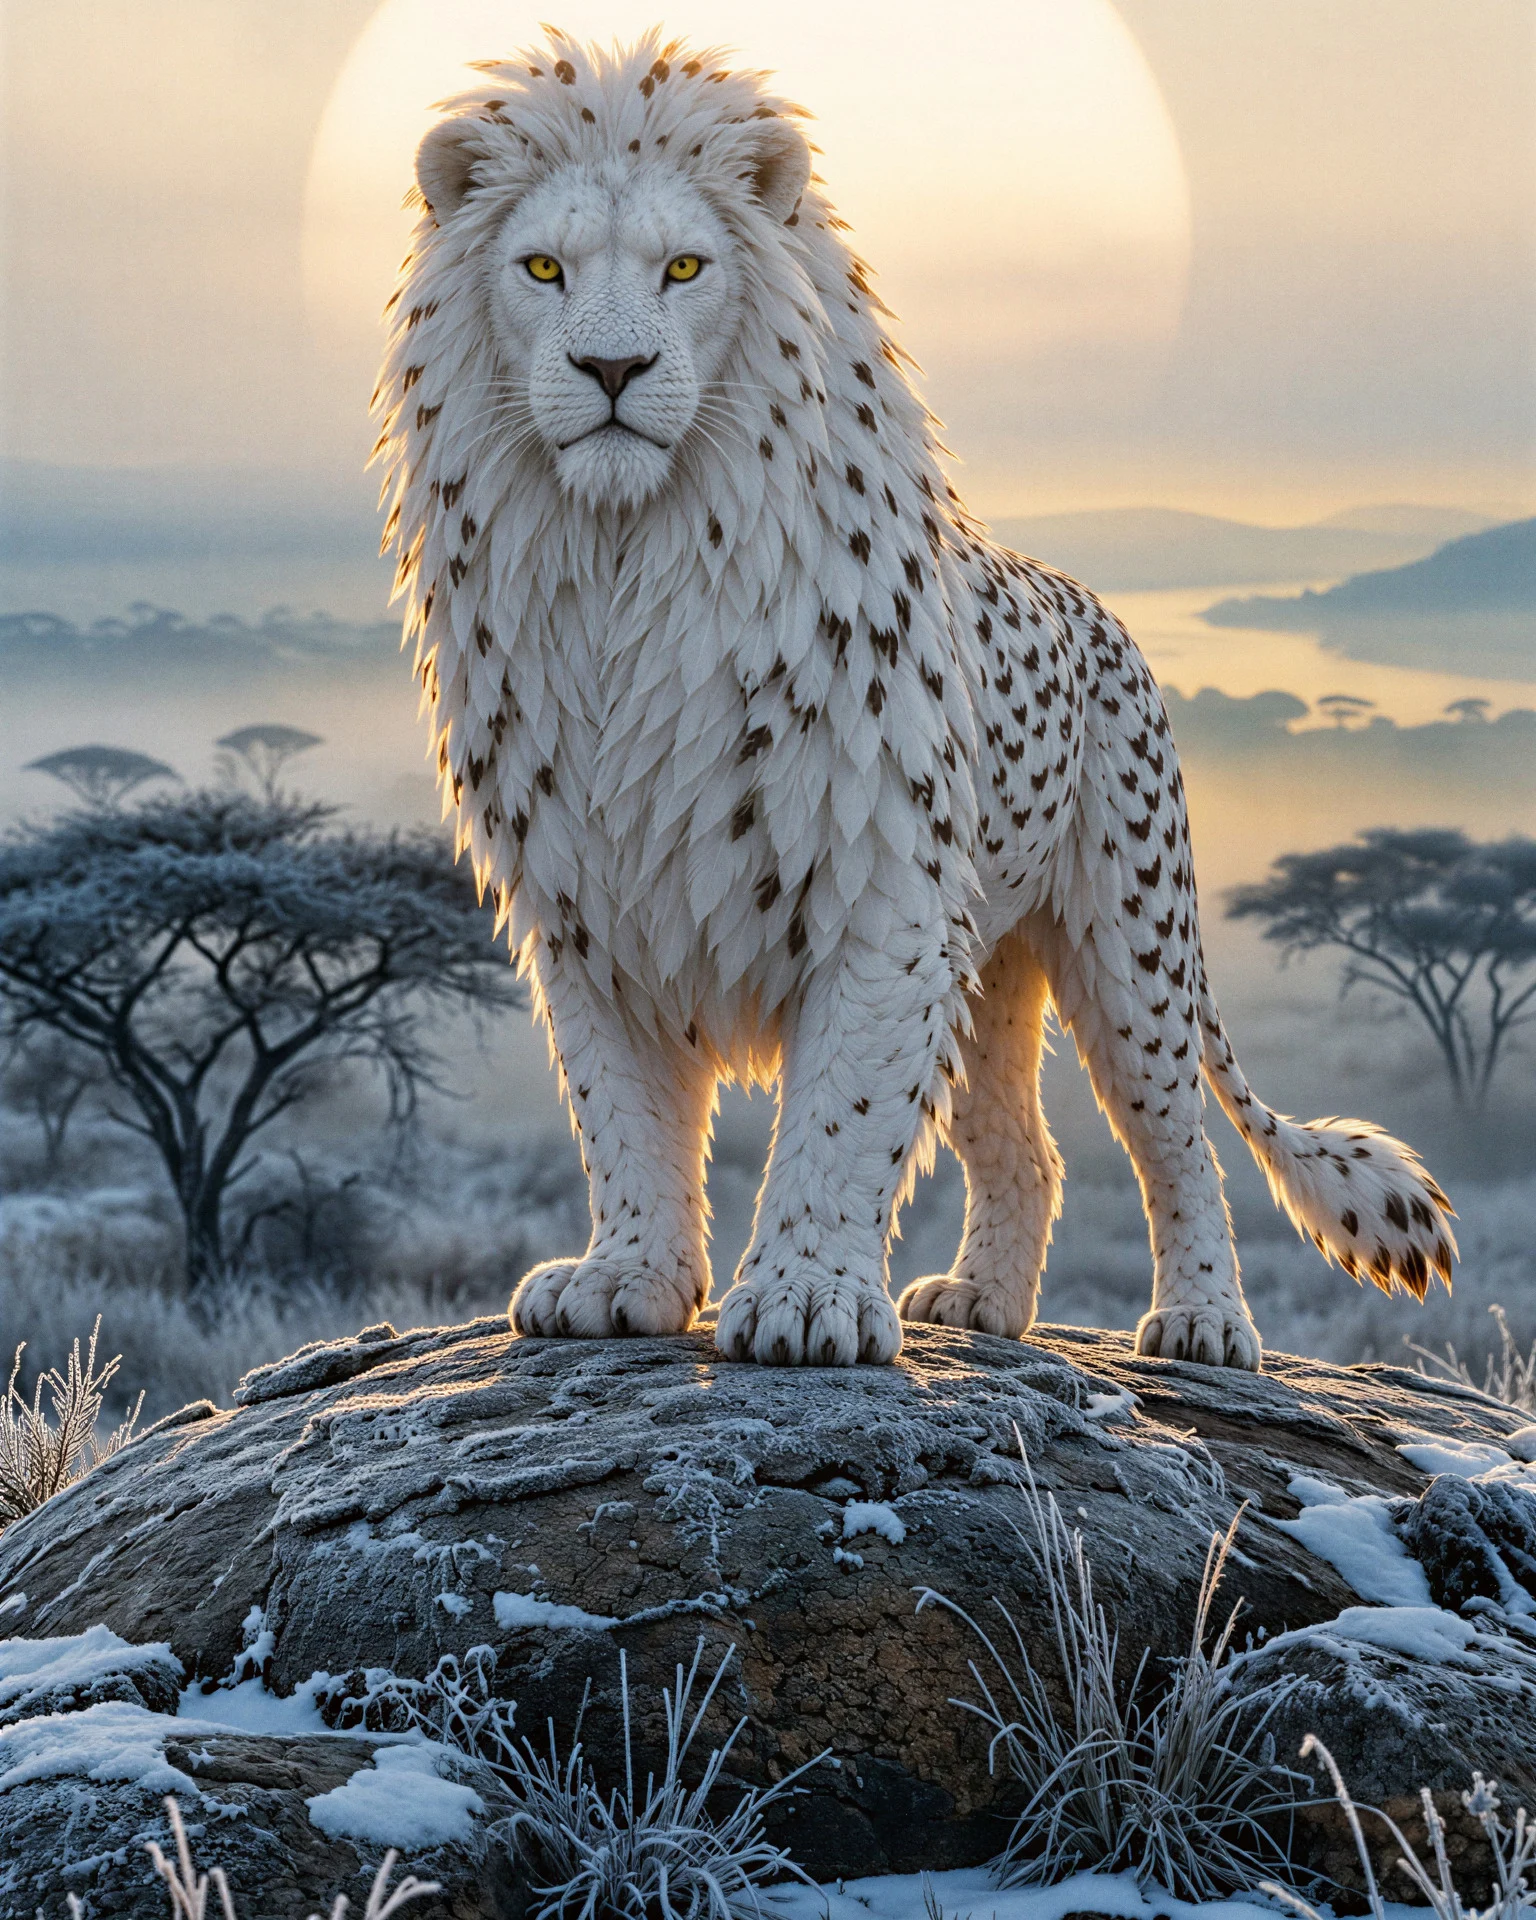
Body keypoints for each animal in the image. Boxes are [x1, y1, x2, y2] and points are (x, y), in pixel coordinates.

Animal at [374, 30, 1456, 1370]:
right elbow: (620, 1110)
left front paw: (805, 1301)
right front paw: (627, 1278)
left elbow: (843, 1112)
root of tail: (1103, 612)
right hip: (993, 964)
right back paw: (981, 1301)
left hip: (1134, 944)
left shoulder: (879, 896)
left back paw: (1203, 1321)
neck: (634, 555)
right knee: (1027, 1148)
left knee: (1177, 1139)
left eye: (684, 266)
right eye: (541, 267)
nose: (612, 368)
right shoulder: (588, 905)